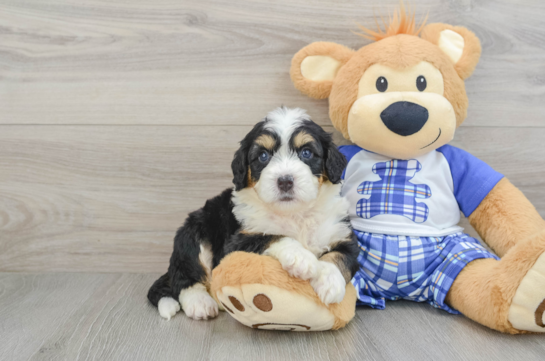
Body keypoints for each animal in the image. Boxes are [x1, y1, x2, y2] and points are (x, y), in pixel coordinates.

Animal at [149, 106, 360, 318]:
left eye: (306, 152)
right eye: (263, 156)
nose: (285, 181)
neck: (294, 214)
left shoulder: (342, 234)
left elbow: (339, 257)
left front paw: (330, 282)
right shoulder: (236, 242)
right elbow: (273, 236)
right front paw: (301, 258)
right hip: (195, 230)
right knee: (185, 275)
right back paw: (200, 302)